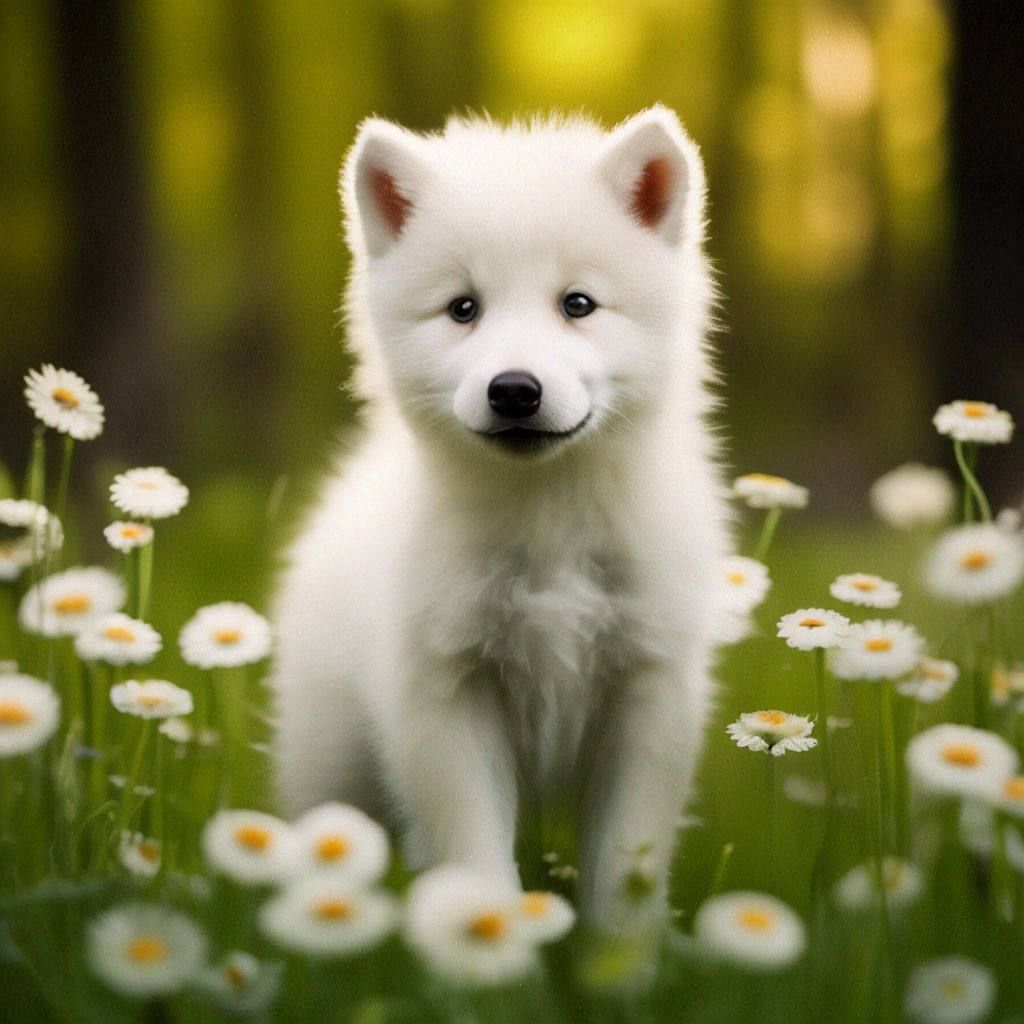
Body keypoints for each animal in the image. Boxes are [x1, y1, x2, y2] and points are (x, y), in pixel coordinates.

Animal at [274, 108, 729, 933]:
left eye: (578, 304)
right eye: (464, 308)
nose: (514, 389)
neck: (548, 524)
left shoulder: (649, 698)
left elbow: (625, 878)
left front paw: (619, 964)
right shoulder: (445, 699)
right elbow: (479, 869)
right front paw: (492, 957)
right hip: (330, 761)